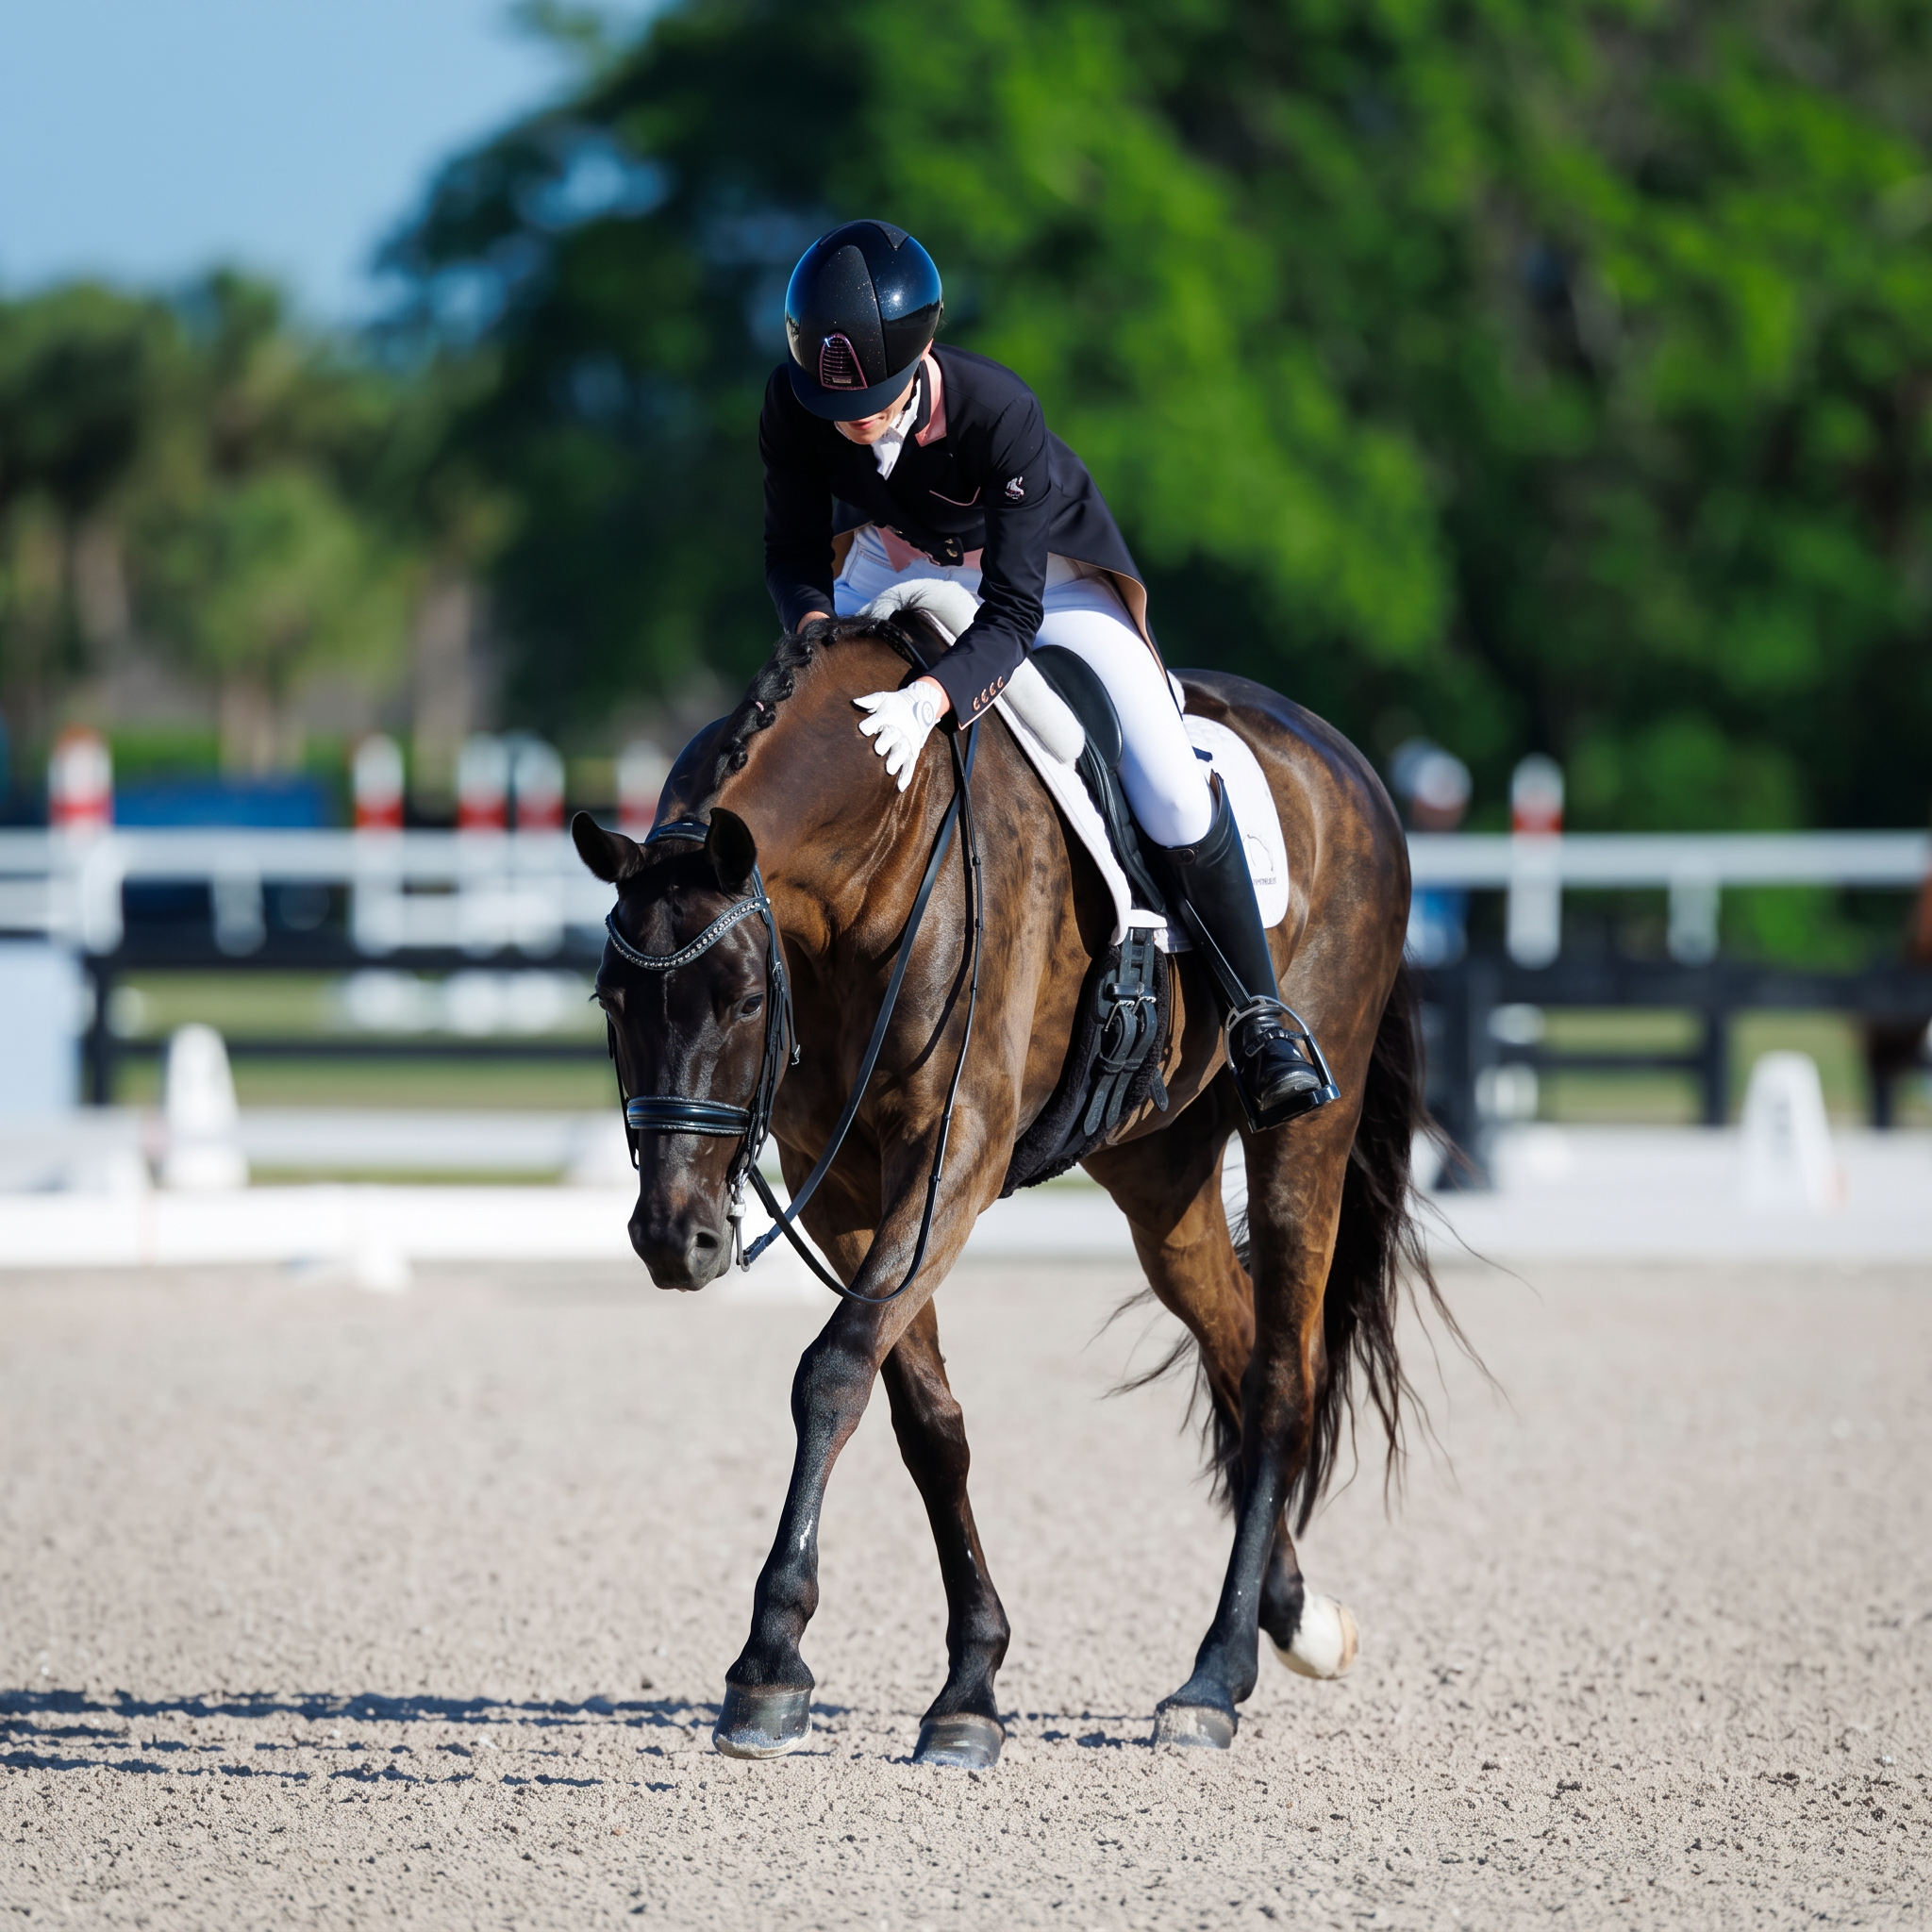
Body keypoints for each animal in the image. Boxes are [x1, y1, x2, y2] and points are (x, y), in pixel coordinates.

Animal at [570, 605, 1452, 1767]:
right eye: (609, 1000)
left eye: (749, 997)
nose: (677, 1241)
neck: (877, 858)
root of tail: (1339, 756)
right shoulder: (839, 1181)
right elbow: (920, 1415)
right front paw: (970, 1682)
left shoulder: (955, 1150)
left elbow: (833, 1371)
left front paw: (768, 1661)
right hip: (1158, 1174)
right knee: (1232, 1345)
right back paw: (1297, 1619)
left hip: (1305, 1135)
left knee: (1276, 1376)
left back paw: (1214, 1677)